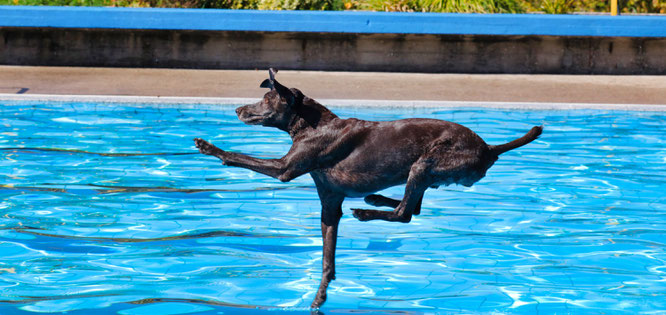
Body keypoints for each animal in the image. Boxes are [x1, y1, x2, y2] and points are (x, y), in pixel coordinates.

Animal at [192, 68, 540, 308]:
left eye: (265, 99)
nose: (238, 110)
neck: (312, 124)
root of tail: (489, 148)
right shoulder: (330, 203)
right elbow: (327, 260)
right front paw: (319, 297)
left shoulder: (285, 169)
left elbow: (240, 157)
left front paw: (211, 148)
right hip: (424, 172)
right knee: (413, 207)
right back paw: (374, 198)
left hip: (426, 164)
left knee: (405, 214)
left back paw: (366, 209)